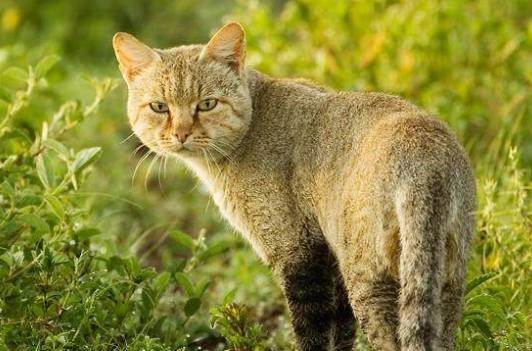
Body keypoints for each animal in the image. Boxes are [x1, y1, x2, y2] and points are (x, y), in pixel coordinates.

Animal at [113, 22, 478, 351]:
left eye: (207, 103)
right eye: (159, 106)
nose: (182, 134)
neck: (254, 120)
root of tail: (423, 156)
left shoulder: (298, 252)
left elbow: (312, 330)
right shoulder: (331, 259)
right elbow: (340, 332)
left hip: (371, 276)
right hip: (445, 275)